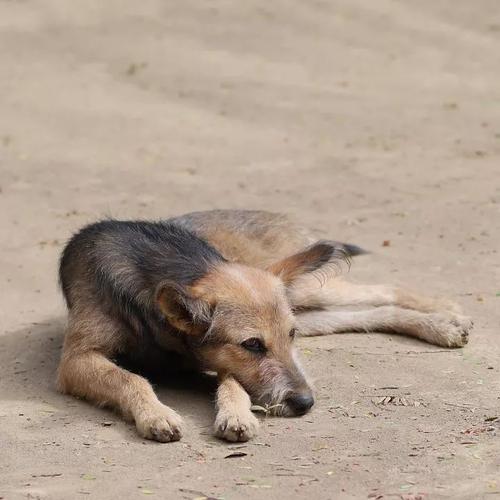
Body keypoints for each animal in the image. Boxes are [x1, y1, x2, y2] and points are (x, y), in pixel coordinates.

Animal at [57, 210, 472, 442]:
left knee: (384, 289)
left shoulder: (213, 360)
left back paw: (445, 313)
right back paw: (442, 324)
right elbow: (131, 379)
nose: (305, 404)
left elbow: (233, 383)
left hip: (307, 292)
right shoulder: (77, 360)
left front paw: (236, 414)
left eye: (288, 336)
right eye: (253, 345)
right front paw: (157, 414)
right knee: (372, 312)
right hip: (310, 307)